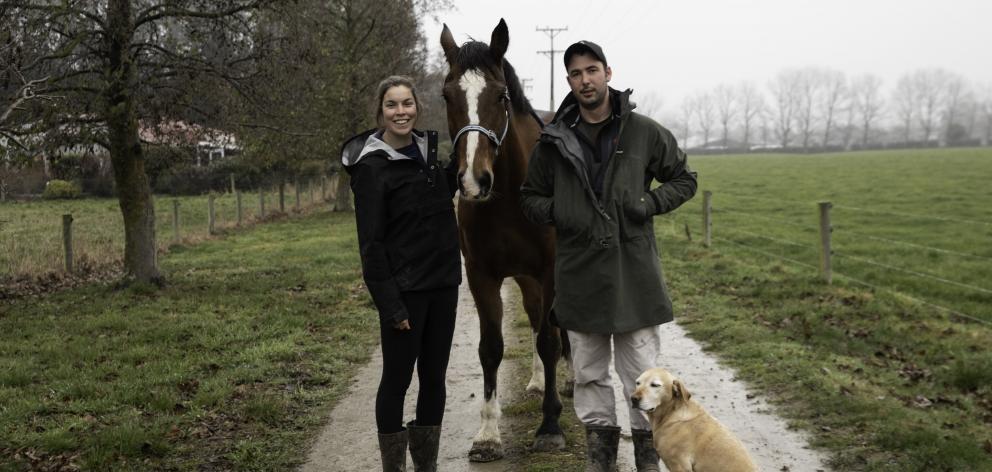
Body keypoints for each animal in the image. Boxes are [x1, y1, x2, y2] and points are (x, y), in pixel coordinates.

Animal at [442, 19, 564, 460]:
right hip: (526, 279)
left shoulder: (552, 270)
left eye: (501, 95)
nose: (473, 181)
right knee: (534, 315)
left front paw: (550, 425)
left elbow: (548, 340)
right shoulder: (482, 274)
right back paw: (538, 382)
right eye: (446, 95)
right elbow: (491, 347)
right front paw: (487, 435)